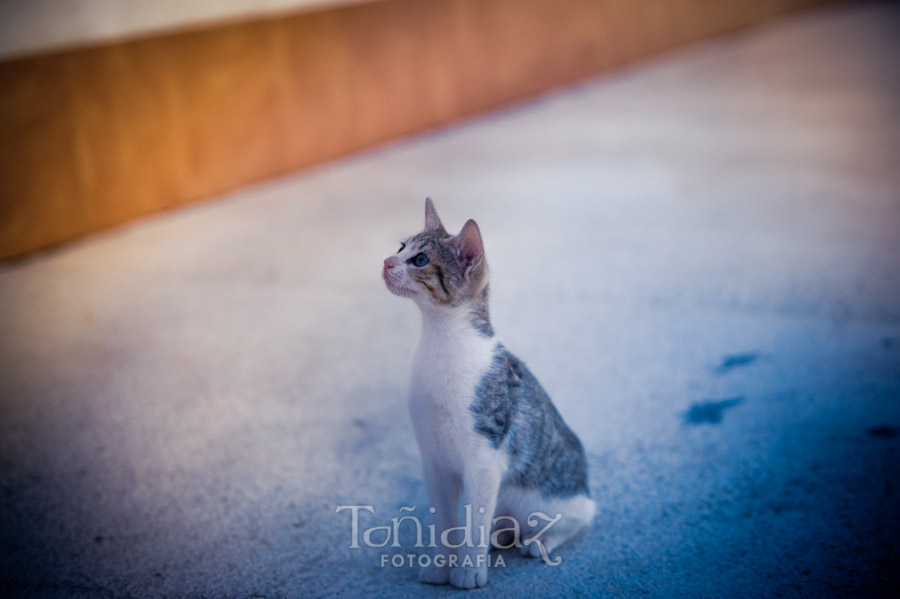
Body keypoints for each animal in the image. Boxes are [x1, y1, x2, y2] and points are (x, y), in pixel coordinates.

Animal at [382, 199, 596, 588]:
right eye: (401, 247)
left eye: (420, 260)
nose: (386, 262)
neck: (441, 344)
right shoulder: (433, 458)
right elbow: (444, 520)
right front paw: (440, 566)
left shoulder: (483, 459)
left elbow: (474, 520)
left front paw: (468, 570)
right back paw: (502, 533)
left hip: (548, 499)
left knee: (580, 516)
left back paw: (541, 541)